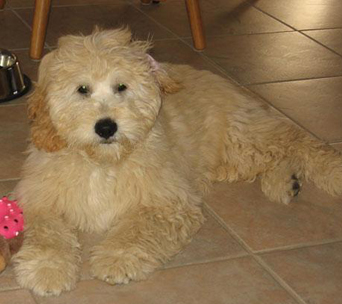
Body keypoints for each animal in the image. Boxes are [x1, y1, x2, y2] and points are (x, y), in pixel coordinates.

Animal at [12, 27, 342, 294]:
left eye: (121, 86)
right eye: (82, 89)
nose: (106, 127)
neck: (103, 163)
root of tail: (221, 79)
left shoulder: (168, 201)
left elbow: (138, 228)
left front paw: (117, 258)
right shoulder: (37, 199)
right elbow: (47, 232)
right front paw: (47, 270)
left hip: (242, 140)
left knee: (296, 139)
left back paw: (330, 172)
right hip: (233, 160)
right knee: (279, 154)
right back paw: (286, 182)